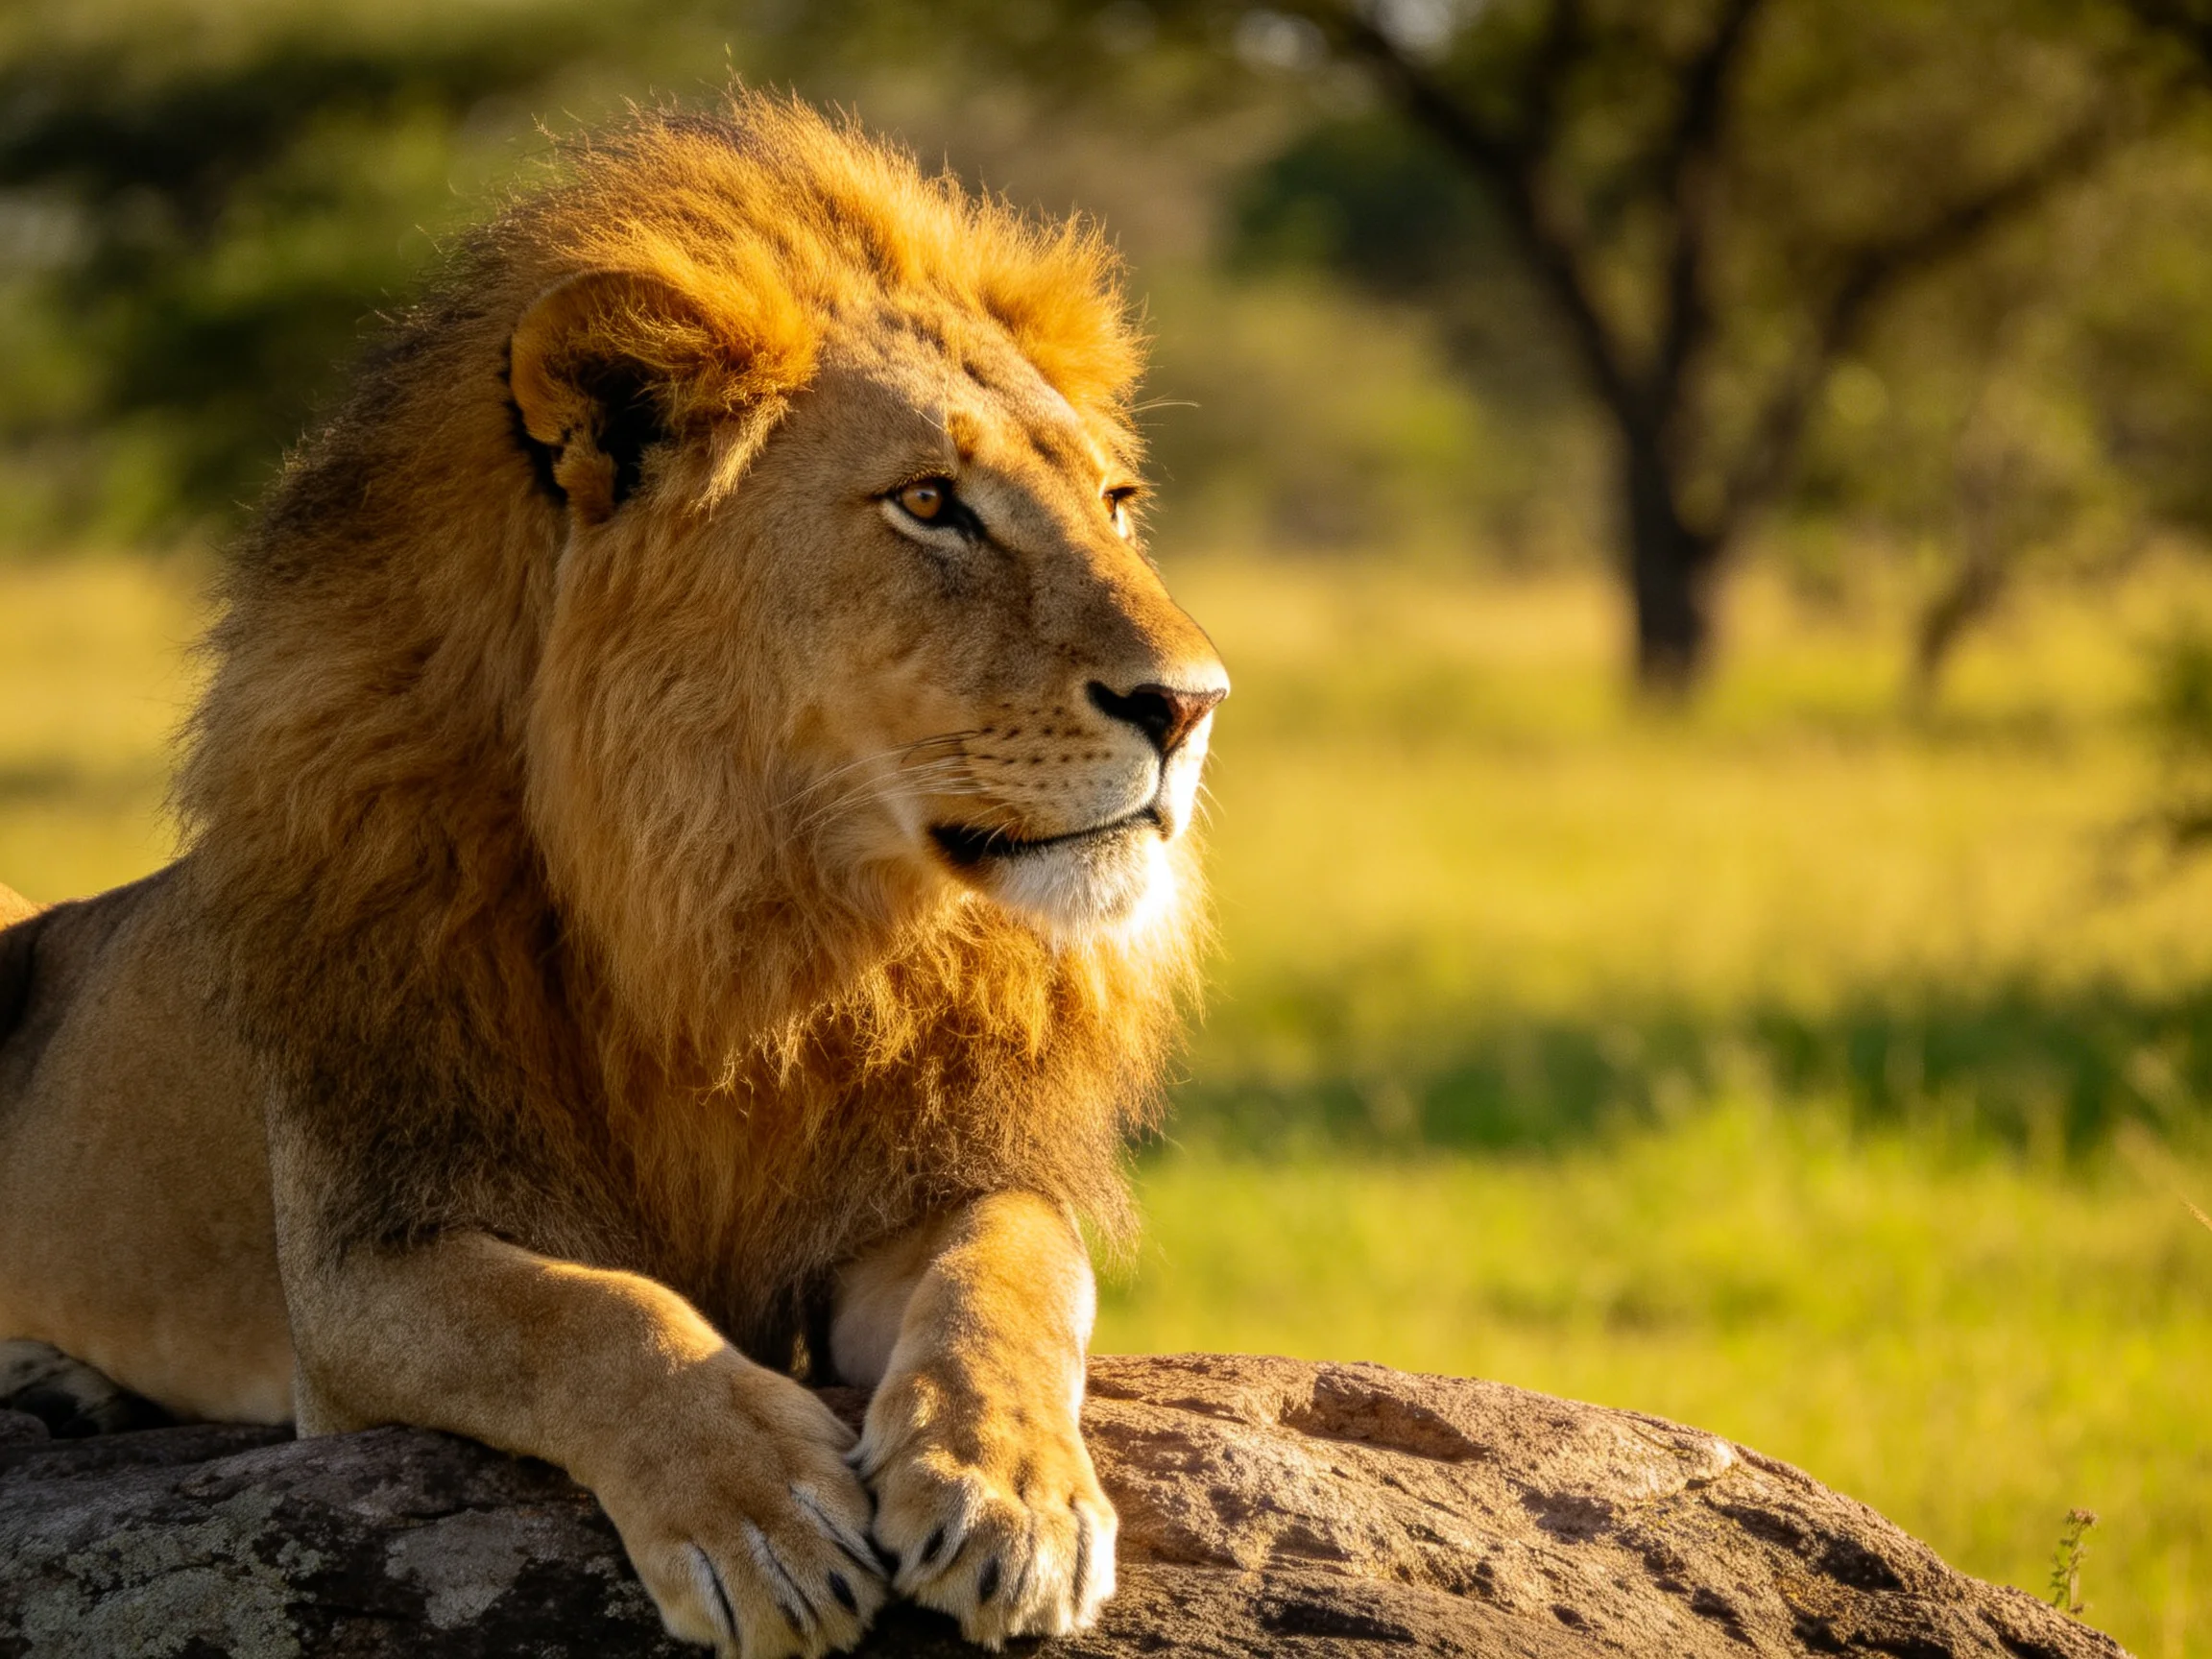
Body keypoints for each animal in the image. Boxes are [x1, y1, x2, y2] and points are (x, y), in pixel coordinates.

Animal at [0, 95, 1227, 1656]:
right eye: (929, 502)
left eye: (1117, 503)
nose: (1192, 705)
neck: (742, 905)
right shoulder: (365, 1256)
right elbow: (590, 1316)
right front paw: (759, 1515)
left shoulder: (914, 1181)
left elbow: (1010, 1267)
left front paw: (1013, 1494)